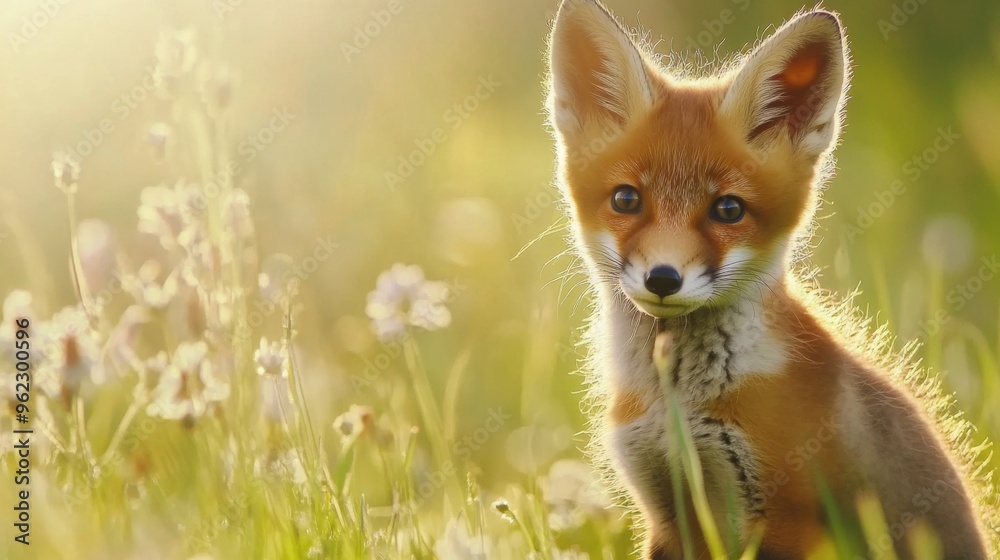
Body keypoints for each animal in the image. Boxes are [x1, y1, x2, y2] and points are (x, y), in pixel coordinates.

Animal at [545, 1, 999, 558]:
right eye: (626, 199)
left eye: (728, 209)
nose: (663, 278)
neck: (677, 403)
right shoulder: (667, 513)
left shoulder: (789, 520)